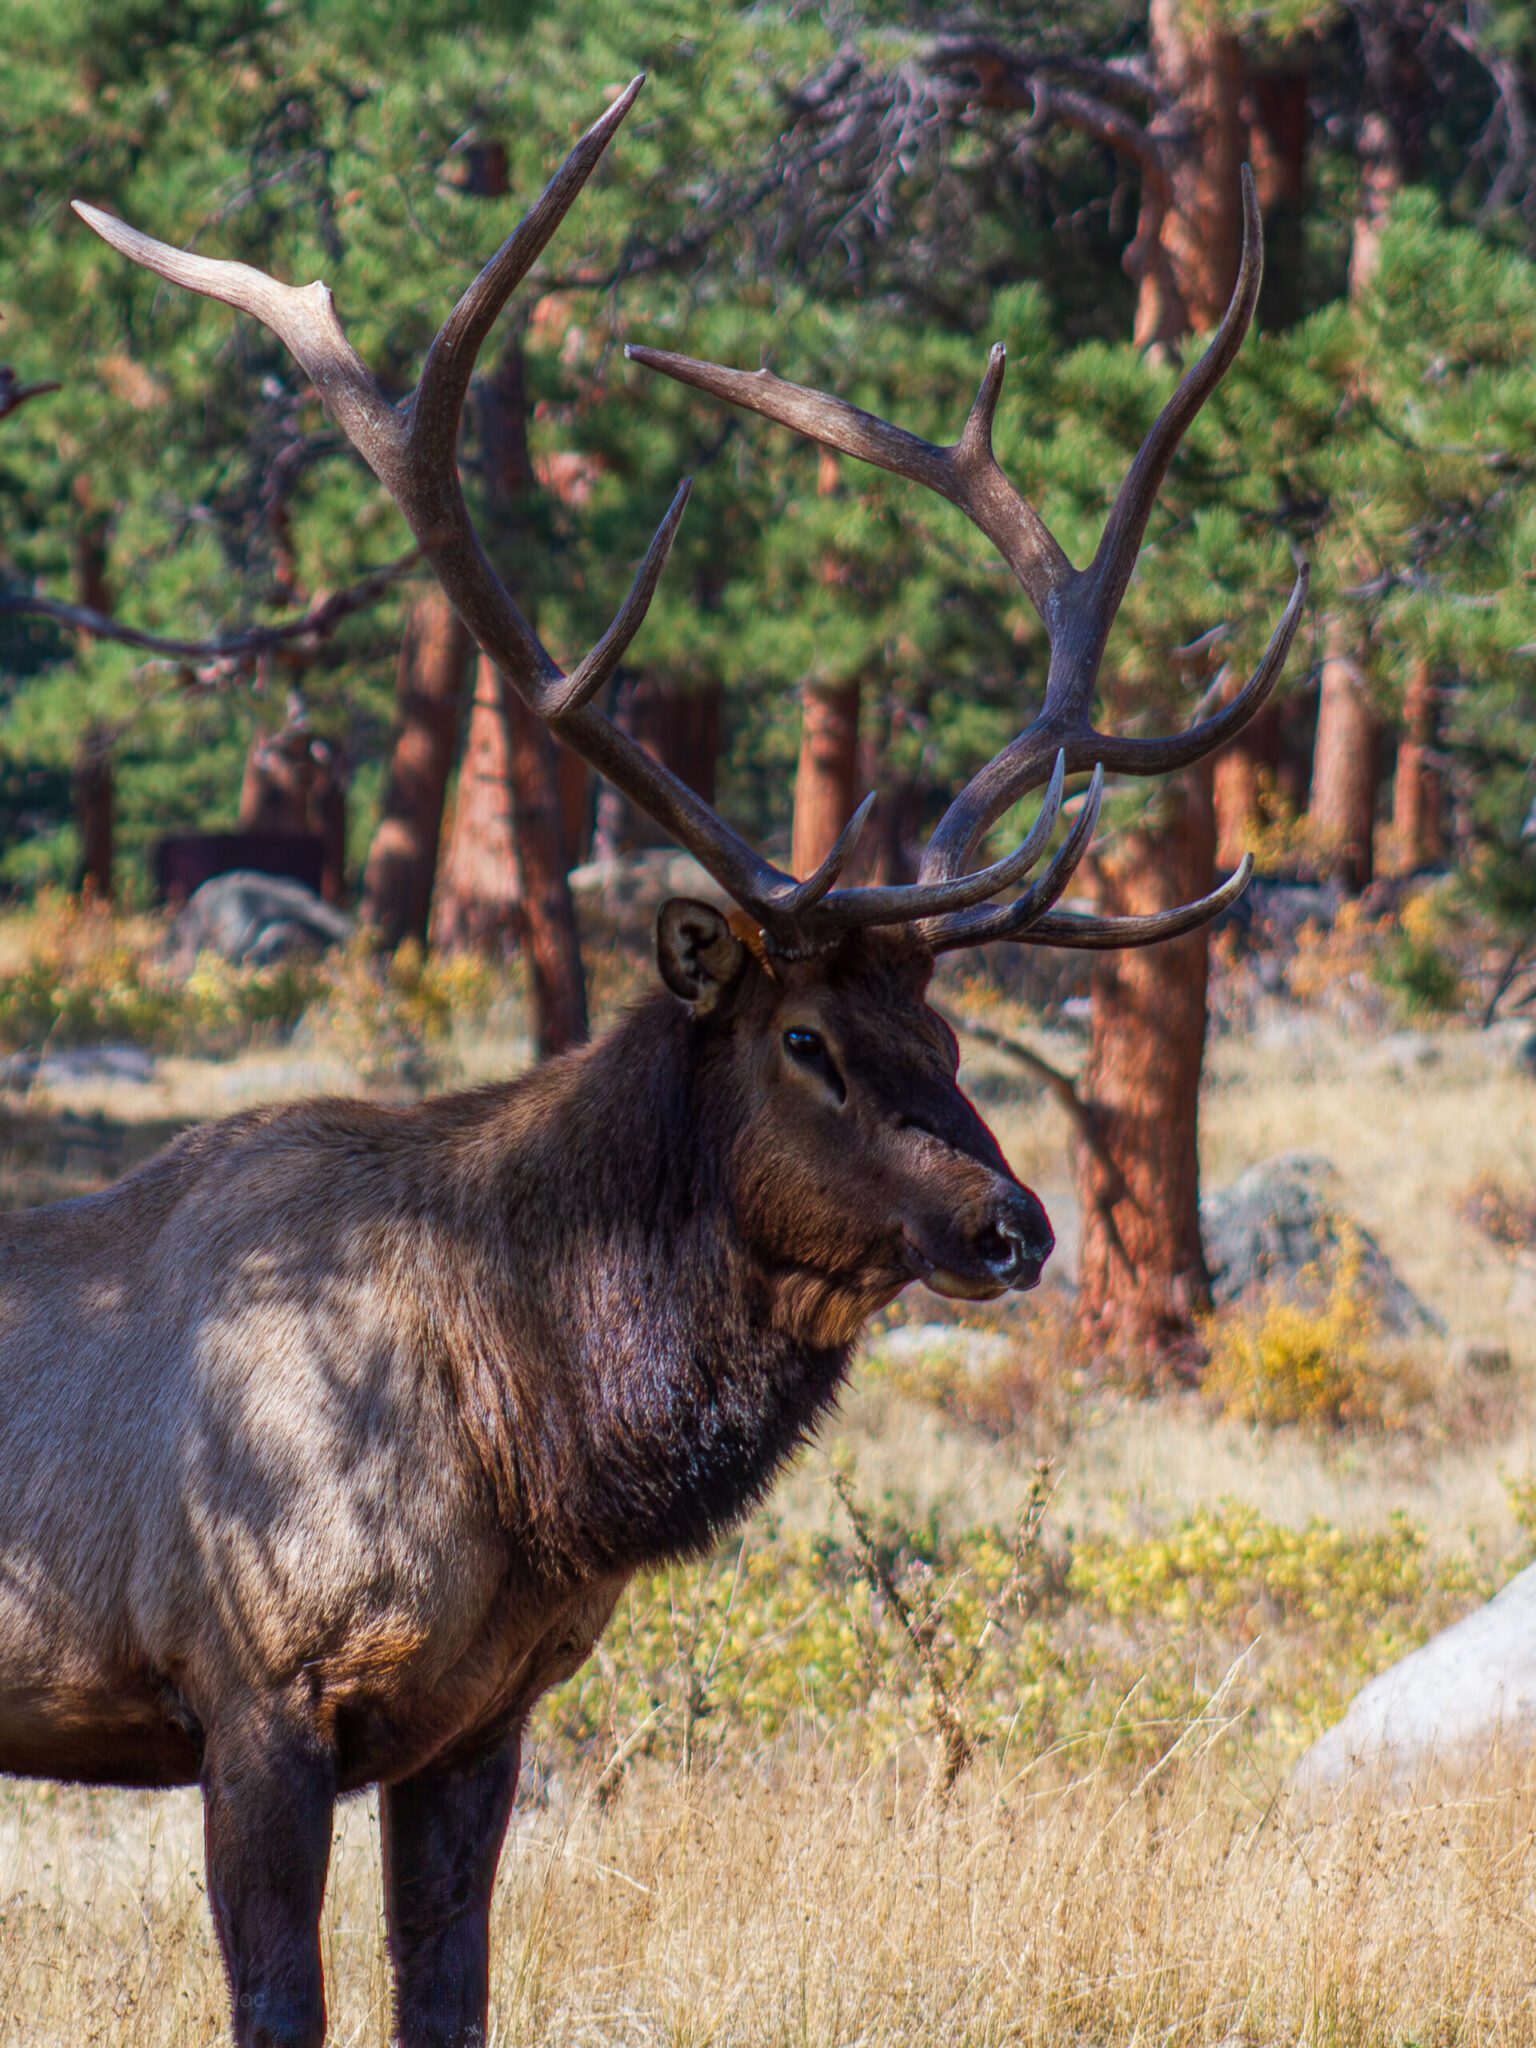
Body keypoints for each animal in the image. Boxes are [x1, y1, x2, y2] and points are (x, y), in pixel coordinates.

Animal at [0, 79, 1305, 2048]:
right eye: (807, 1038)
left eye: (945, 1031)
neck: (531, 1443)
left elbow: (452, 1998)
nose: (1012, 1224)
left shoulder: (477, 1717)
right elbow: (281, 2005)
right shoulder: (255, 1682)